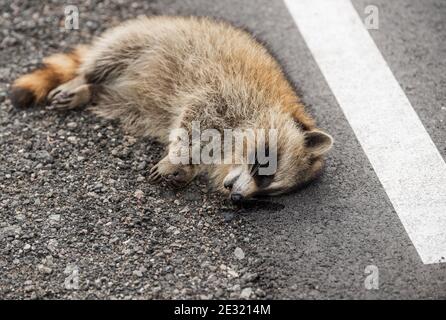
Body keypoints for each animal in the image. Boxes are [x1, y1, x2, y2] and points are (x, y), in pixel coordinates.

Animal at [9, 15, 332, 200]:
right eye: (264, 172)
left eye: (267, 193)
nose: (238, 199)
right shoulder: (227, 94)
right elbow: (194, 118)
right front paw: (176, 157)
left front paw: (187, 170)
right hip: (148, 37)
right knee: (109, 55)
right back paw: (85, 79)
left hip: (126, 101)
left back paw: (90, 90)